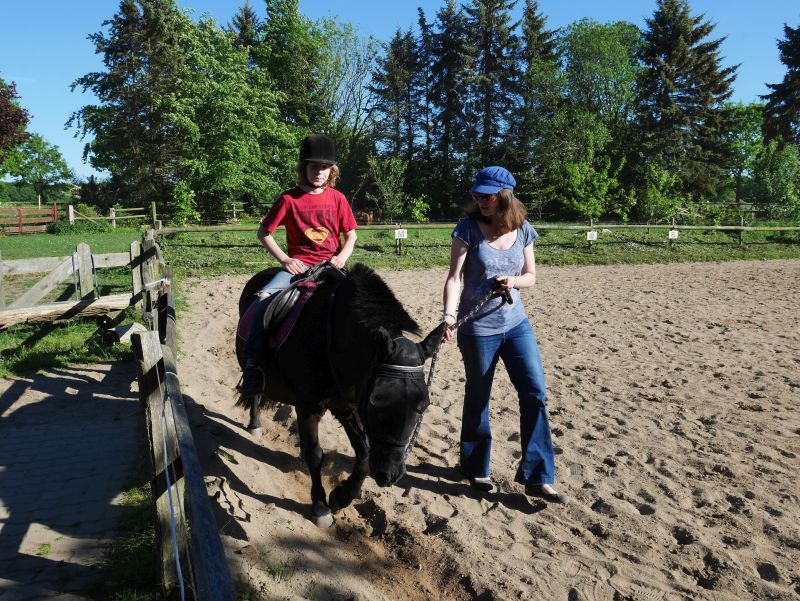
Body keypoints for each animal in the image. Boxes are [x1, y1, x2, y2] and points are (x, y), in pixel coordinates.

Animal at [238, 262, 444, 524]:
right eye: (376, 401)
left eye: (424, 404)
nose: (390, 474)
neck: (330, 339)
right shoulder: (309, 407)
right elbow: (315, 454)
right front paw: (320, 505)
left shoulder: (347, 406)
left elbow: (364, 456)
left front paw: (341, 497)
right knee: (255, 391)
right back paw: (254, 423)